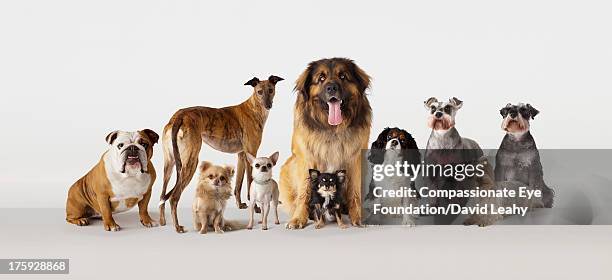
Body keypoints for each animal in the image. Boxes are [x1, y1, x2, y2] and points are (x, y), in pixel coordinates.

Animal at [280, 58, 370, 229]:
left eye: (343, 76)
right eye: (321, 78)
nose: (332, 88)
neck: (332, 128)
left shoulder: (355, 160)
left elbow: (355, 191)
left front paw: (358, 216)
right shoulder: (306, 159)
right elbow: (304, 192)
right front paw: (299, 218)